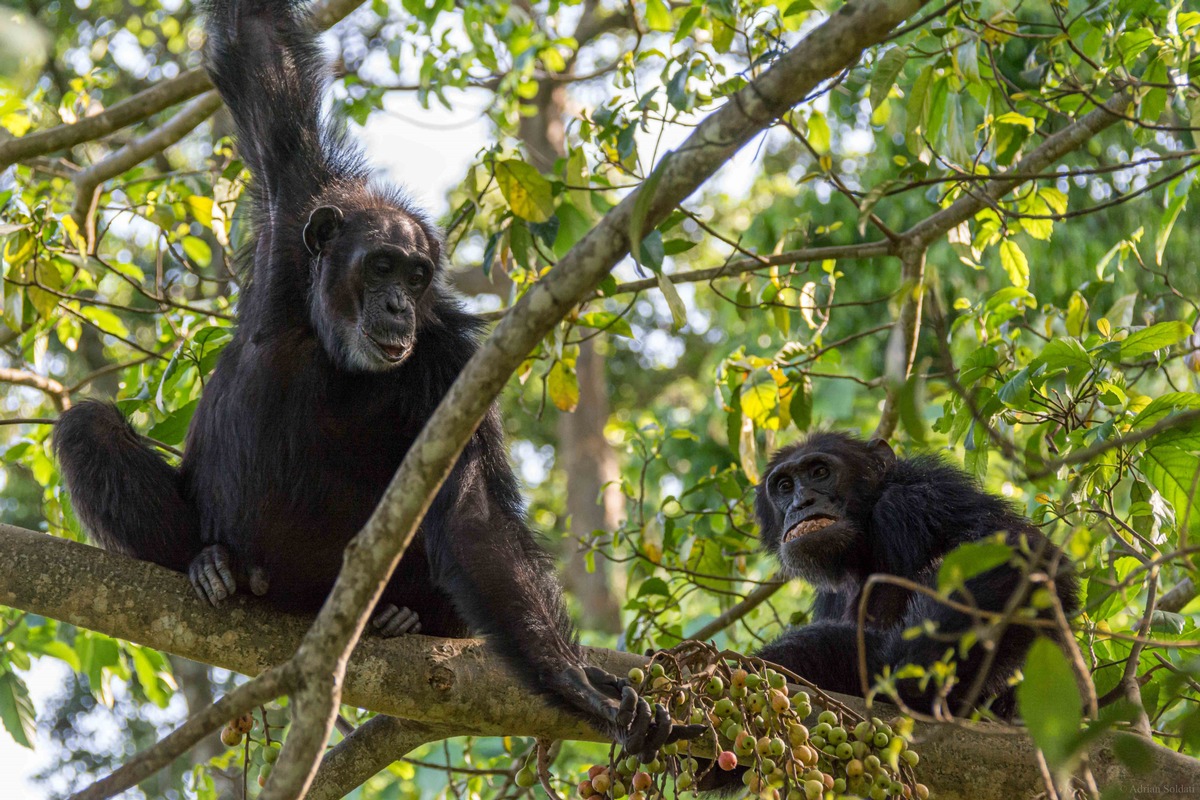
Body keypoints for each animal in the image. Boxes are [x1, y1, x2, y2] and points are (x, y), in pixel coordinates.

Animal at [54, 0, 696, 758]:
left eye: (416, 277)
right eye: (383, 266)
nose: (396, 305)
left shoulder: (452, 363)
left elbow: (474, 514)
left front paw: (579, 686)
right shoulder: (293, 199)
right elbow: (259, 51)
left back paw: (401, 619)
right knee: (87, 427)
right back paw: (213, 564)